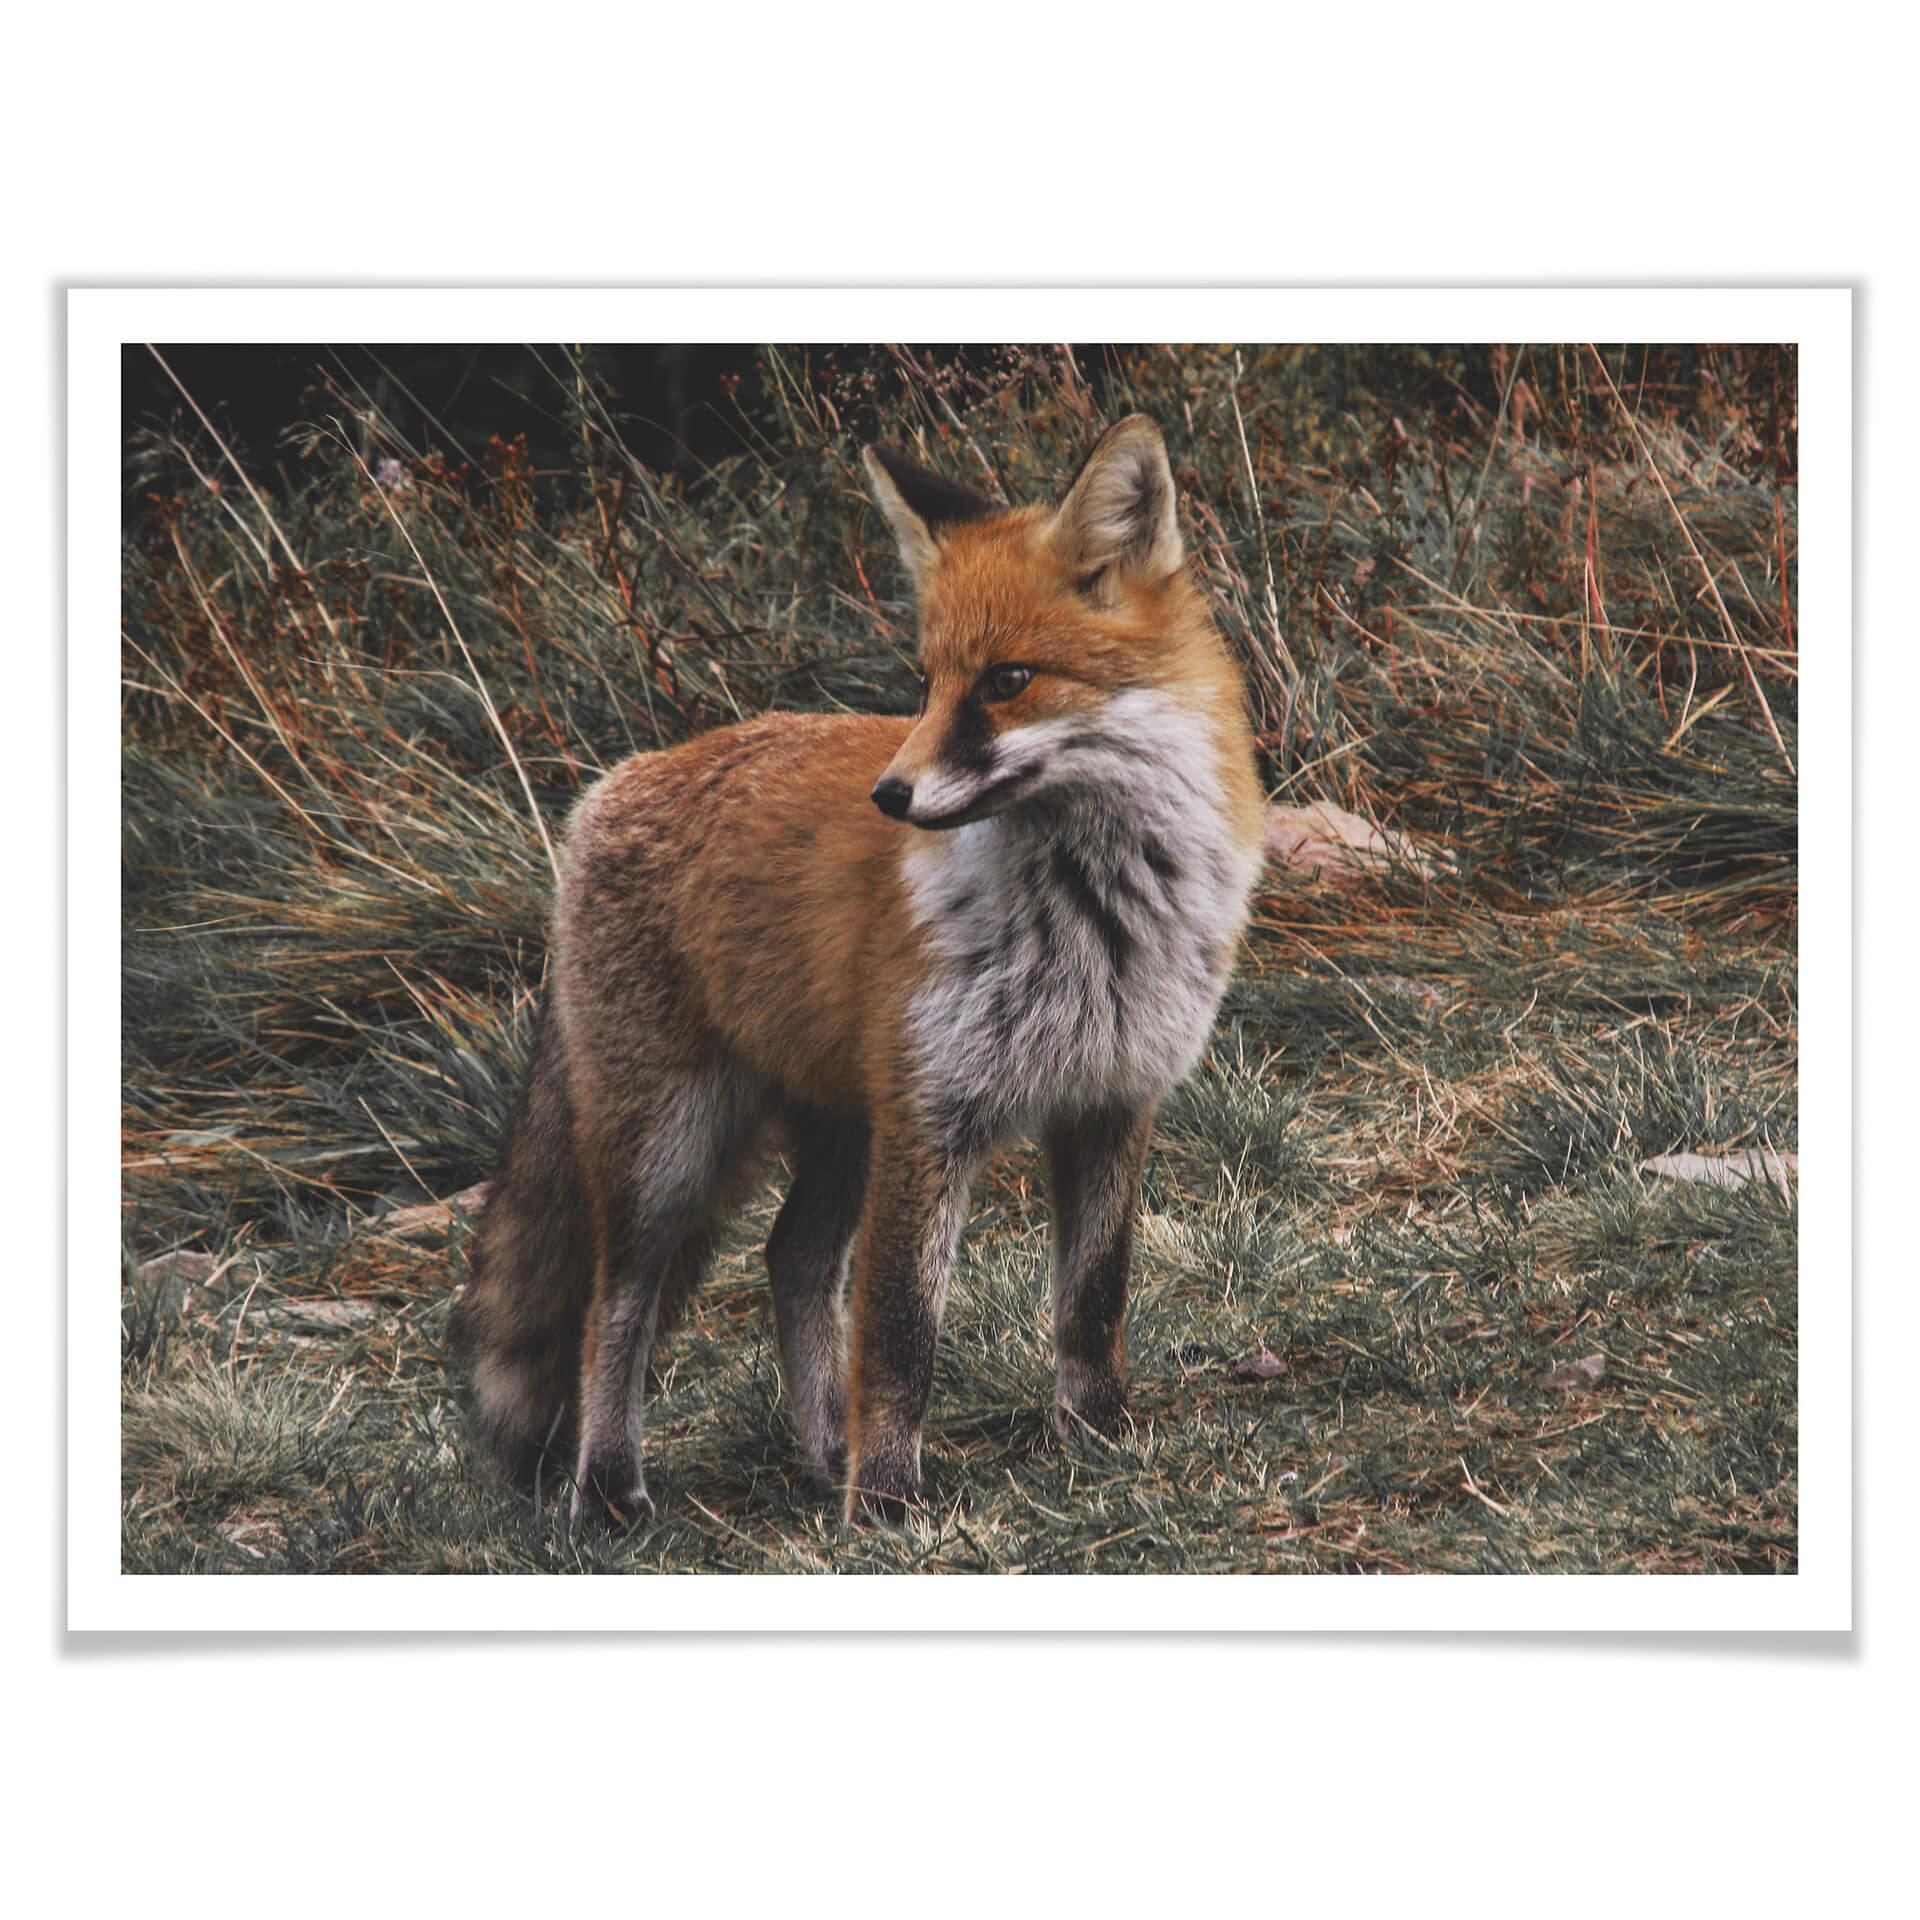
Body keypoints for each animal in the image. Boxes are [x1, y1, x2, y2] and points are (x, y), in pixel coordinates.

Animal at [449, 413, 1266, 1526]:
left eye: (1007, 680)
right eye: (924, 682)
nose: (891, 795)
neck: (1092, 916)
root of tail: (614, 784)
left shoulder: (1111, 1098)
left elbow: (1094, 1300)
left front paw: (1098, 1436)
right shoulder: (931, 1119)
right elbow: (899, 1333)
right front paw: (884, 1504)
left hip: (839, 1130)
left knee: (790, 1259)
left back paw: (820, 1451)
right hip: (670, 1148)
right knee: (613, 1306)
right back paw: (612, 1489)